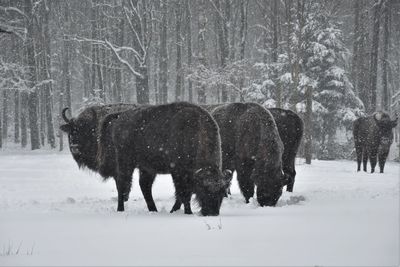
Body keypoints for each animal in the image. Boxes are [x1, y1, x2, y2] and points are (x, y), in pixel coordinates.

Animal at [97, 102, 233, 216]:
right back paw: (121, 209)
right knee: (122, 183)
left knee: (145, 186)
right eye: (204, 190)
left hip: (147, 168)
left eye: (222, 192)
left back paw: (153, 210)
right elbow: (183, 193)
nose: (212, 213)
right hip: (125, 162)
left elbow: (181, 194)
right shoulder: (178, 173)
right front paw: (187, 212)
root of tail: (120, 116)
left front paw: (174, 210)